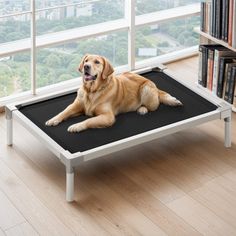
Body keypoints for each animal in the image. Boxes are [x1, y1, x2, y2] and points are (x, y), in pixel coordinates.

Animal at [46, 54, 183, 133]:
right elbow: (64, 111)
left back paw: (142, 109)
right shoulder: (76, 105)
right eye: (86, 60)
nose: (86, 66)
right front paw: (53, 119)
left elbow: (89, 121)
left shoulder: (108, 117)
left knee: (153, 105)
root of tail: (152, 82)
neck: (92, 90)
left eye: (97, 62)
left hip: (146, 89)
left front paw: (76, 126)